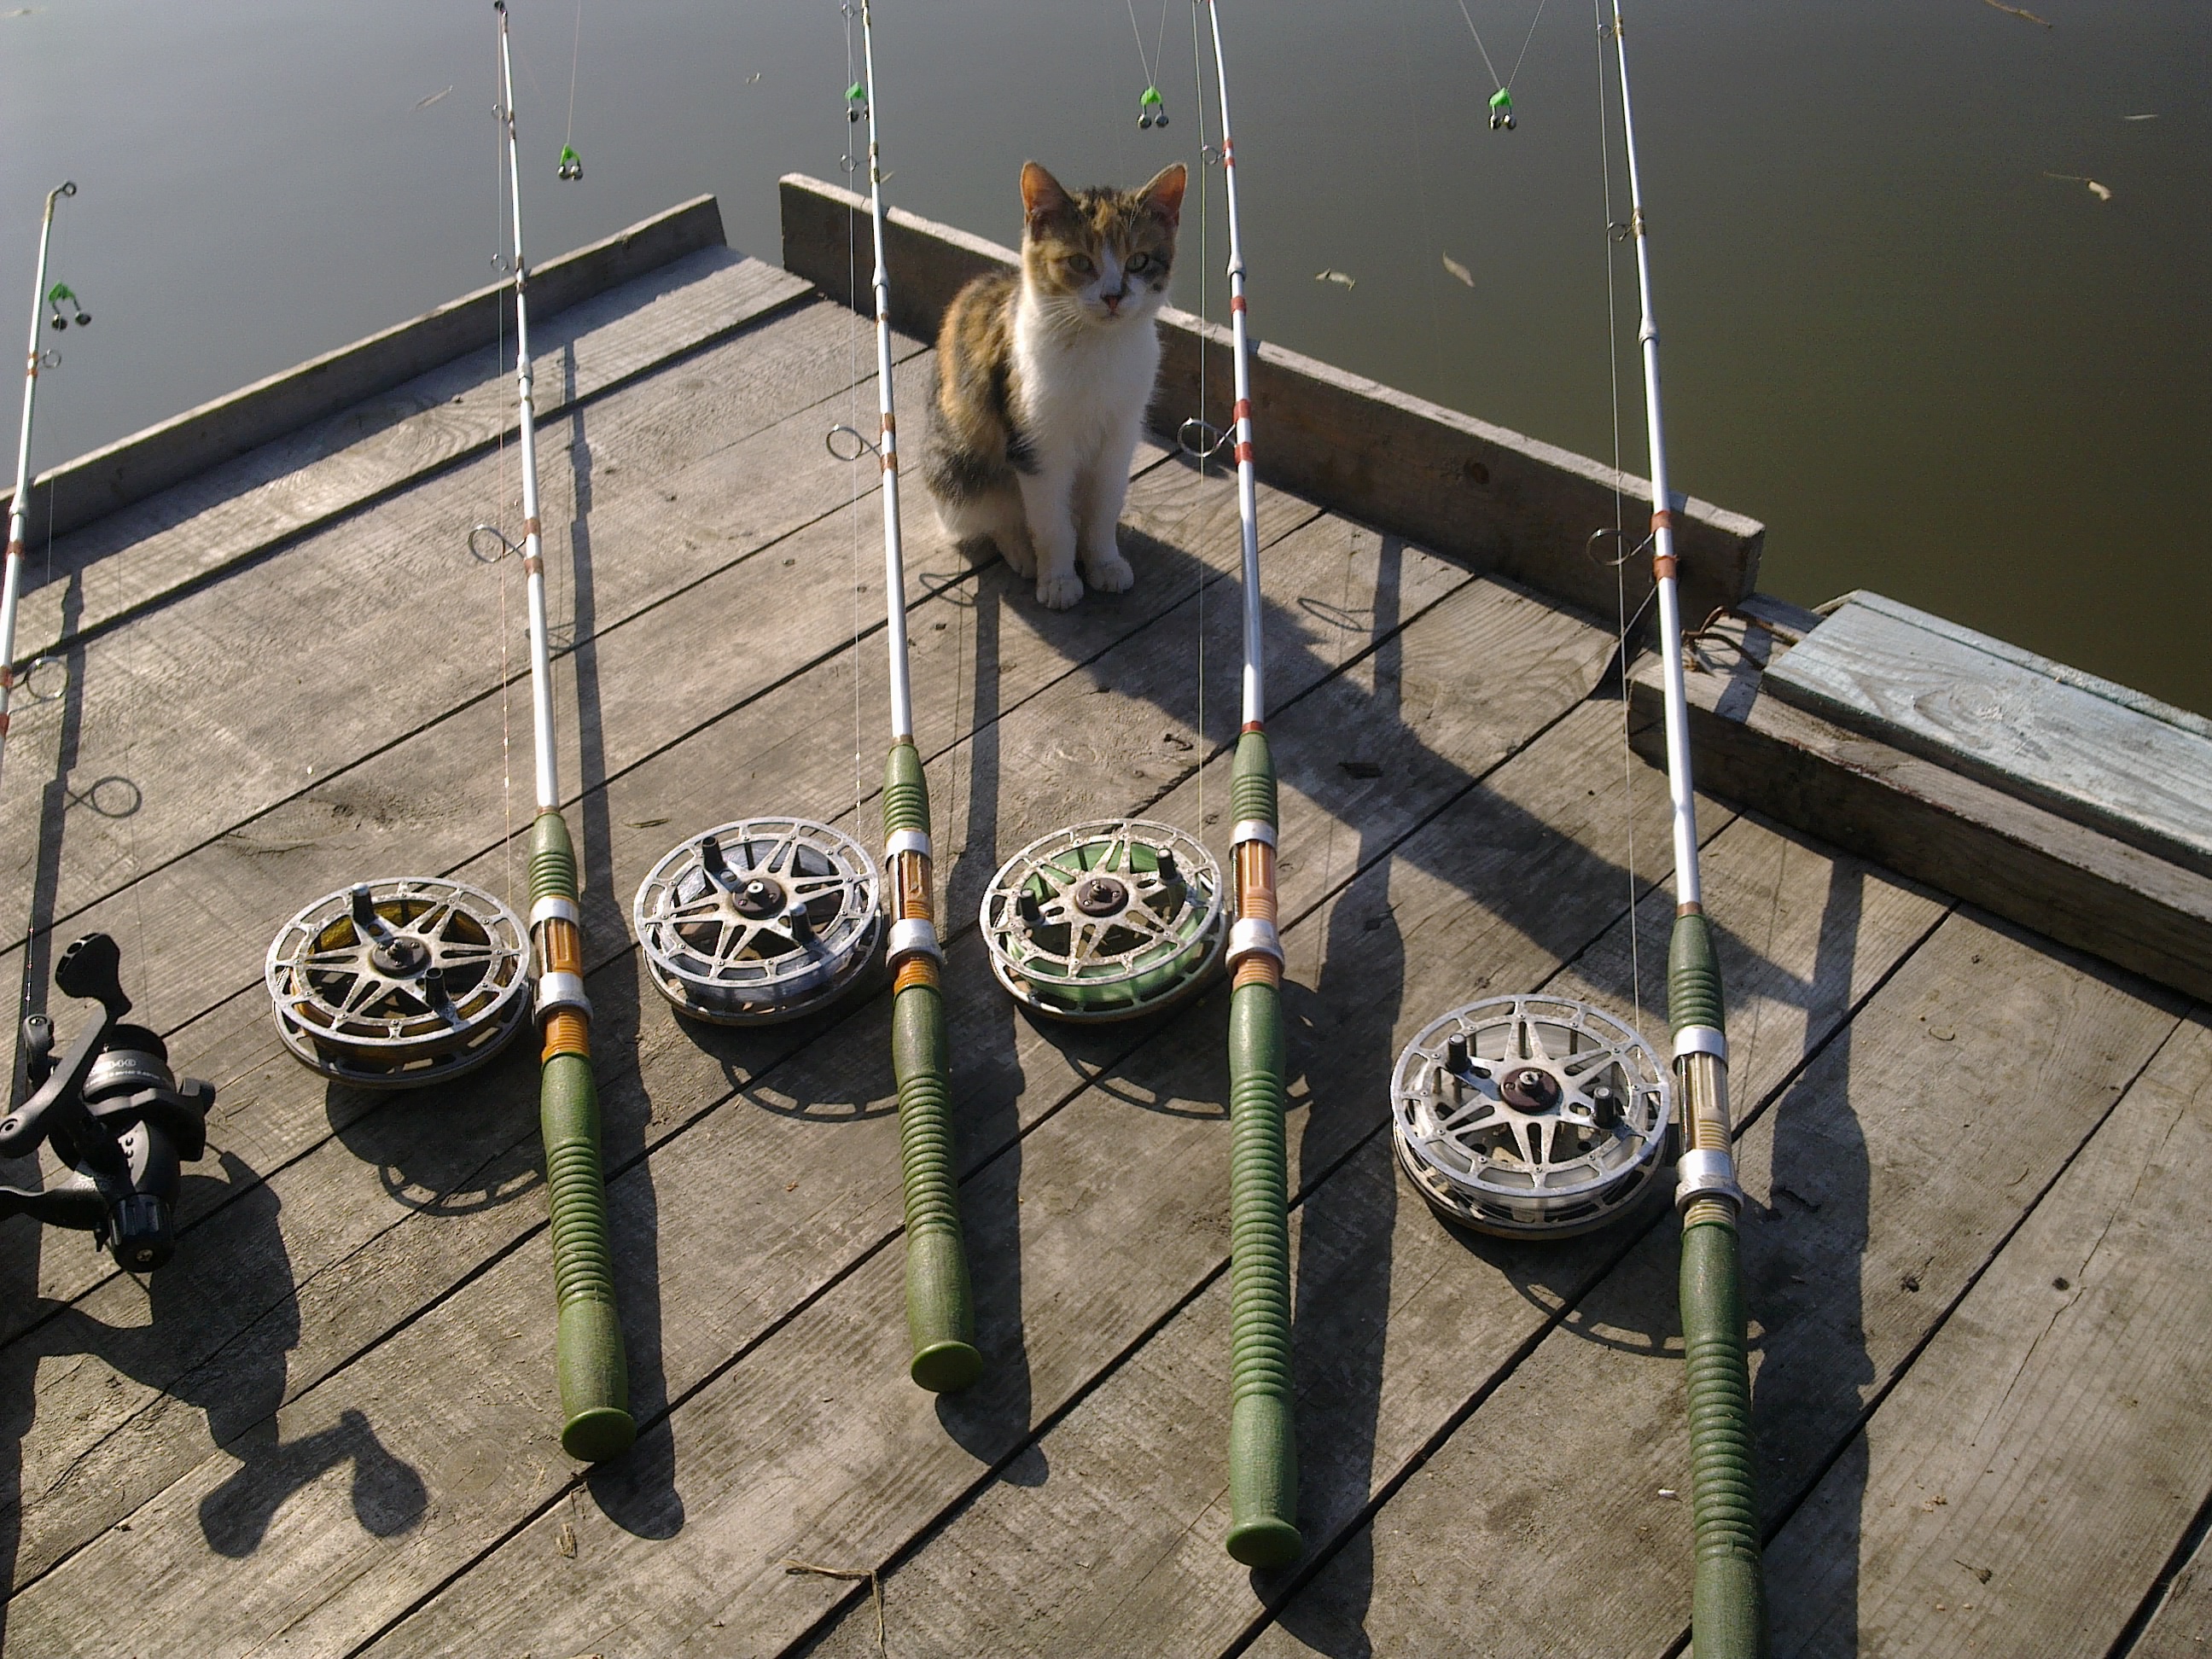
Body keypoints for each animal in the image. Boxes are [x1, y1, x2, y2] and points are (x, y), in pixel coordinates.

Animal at [921, 160, 1186, 610]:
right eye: (1080, 261)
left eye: (1138, 261)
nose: (1113, 296)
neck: (1097, 348)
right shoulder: (1038, 445)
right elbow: (1050, 524)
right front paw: (1059, 580)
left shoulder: (1120, 435)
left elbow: (1103, 509)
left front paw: (1105, 564)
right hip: (958, 467)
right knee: (994, 513)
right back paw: (1022, 553)